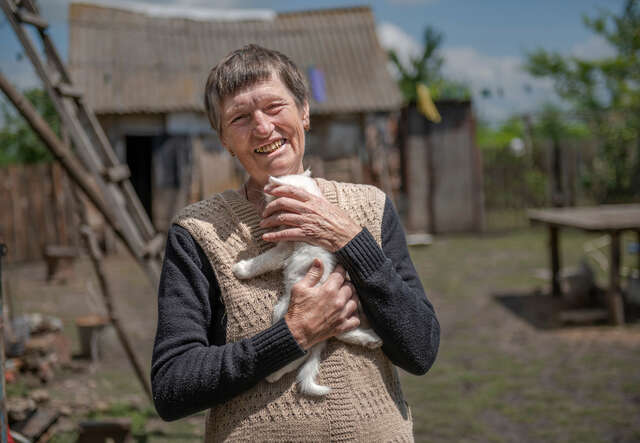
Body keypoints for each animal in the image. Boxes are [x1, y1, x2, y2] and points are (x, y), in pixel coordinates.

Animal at [236, 172, 382, 398]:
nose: (263, 197)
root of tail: (320, 337)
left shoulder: (283, 249)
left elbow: (262, 261)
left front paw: (241, 269)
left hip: (283, 310)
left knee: (298, 353)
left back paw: (274, 375)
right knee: (339, 334)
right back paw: (370, 339)